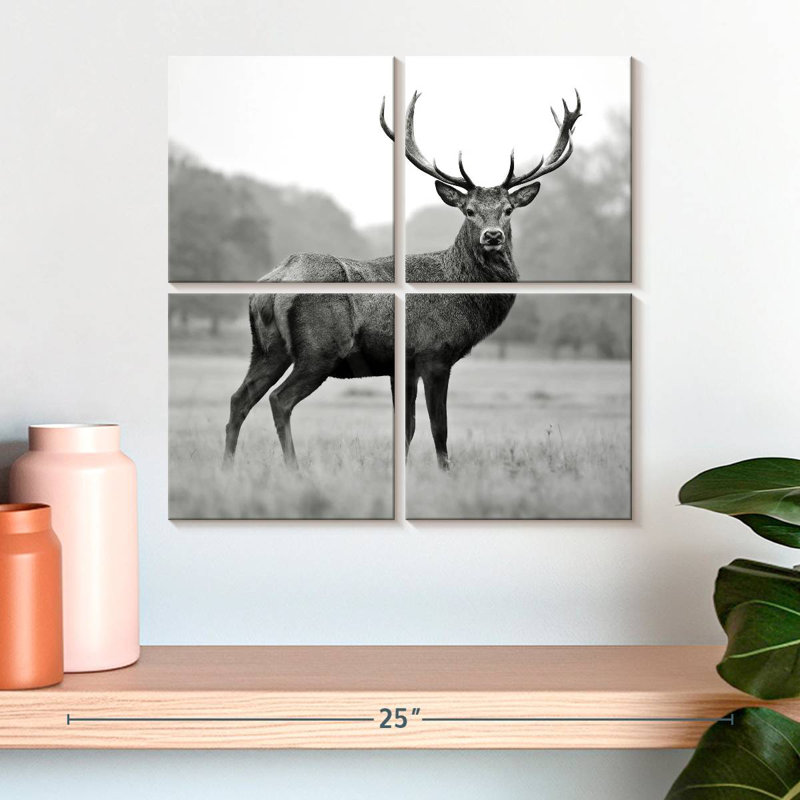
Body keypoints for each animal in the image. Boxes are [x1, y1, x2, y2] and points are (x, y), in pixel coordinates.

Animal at [223, 90, 581, 471]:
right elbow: (439, 428)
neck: (460, 290)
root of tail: (274, 283)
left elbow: (406, 427)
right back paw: (294, 469)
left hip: (266, 348)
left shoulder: (401, 365)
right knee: (280, 399)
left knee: (239, 398)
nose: (493, 236)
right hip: (319, 349)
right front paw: (445, 473)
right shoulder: (434, 354)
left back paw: (227, 467)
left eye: (508, 209)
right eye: (468, 210)